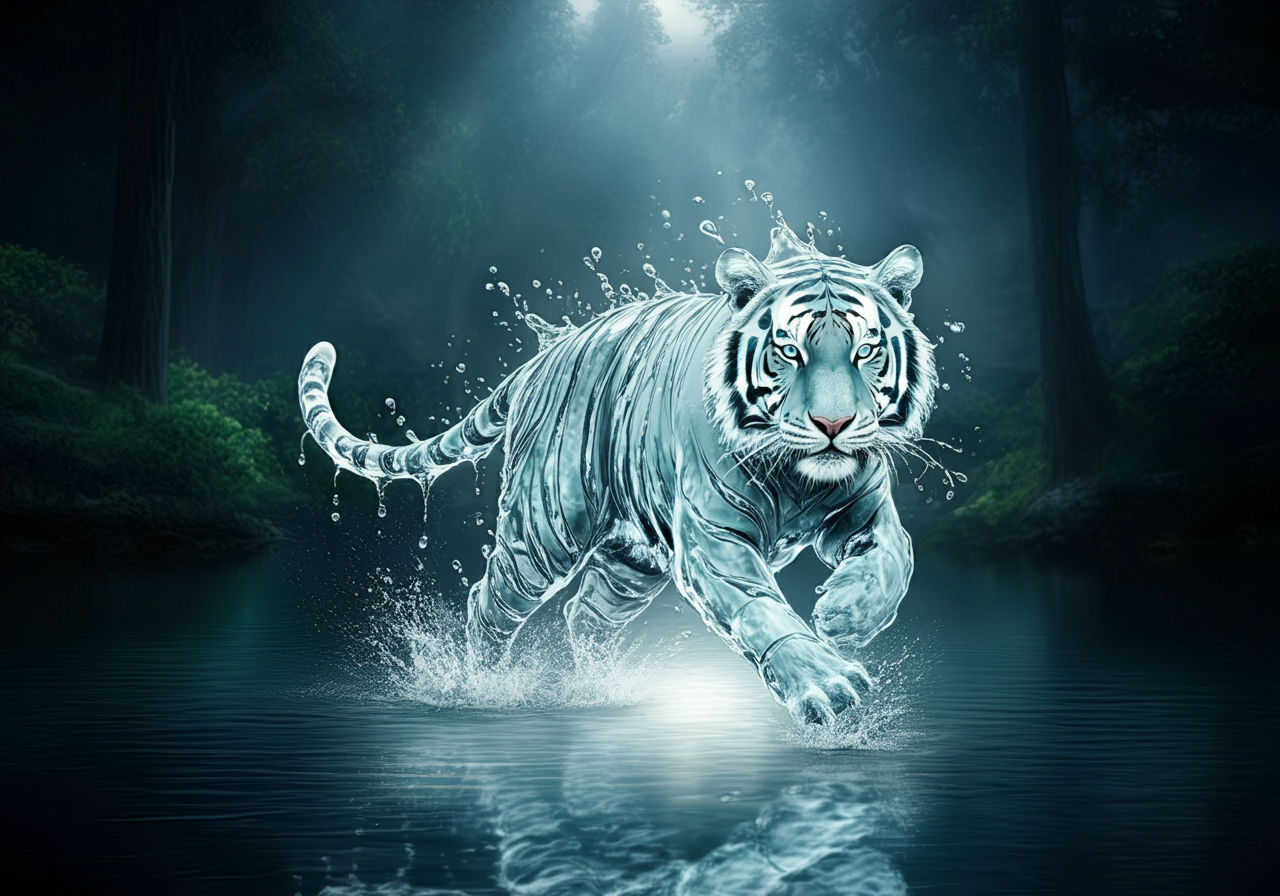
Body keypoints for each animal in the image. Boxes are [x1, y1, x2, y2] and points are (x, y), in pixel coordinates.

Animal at [298, 224, 936, 724]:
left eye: (866, 350)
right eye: (788, 350)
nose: (834, 424)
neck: (798, 478)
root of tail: (541, 359)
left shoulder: (864, 507)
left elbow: (897, 557)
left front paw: (845, 615)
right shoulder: (713, 536)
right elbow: (756, 605)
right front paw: (822, 680)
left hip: (634, 558)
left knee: (586, 614)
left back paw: (597, 686)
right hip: (544, 528)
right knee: (491, 599)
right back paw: (478, 686)